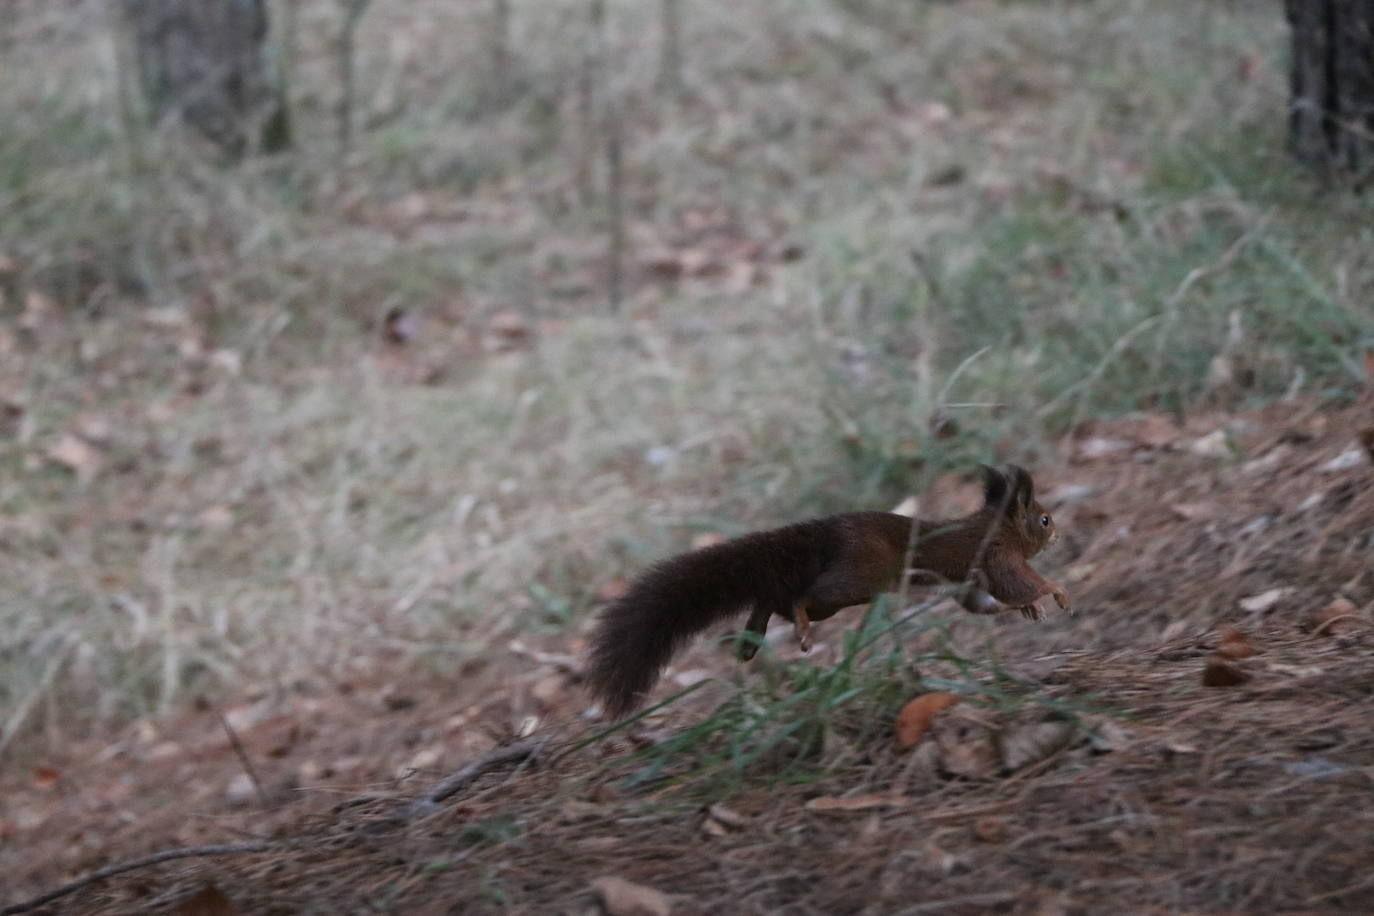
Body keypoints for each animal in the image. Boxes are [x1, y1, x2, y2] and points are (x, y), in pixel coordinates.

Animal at [585, 469, 1066, 719]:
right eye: (1044, 519)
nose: (1057, 533)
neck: (1000, 525)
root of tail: (827, 534)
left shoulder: (972, 580)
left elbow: (982, 601)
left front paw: (1028, 609)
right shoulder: (998, 555)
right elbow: (1018, 580)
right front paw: (1054, 592)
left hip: (837, 594)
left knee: (773, 597)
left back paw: (751, 640)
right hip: (857, 581)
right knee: (800, 596)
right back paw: (792, 629)